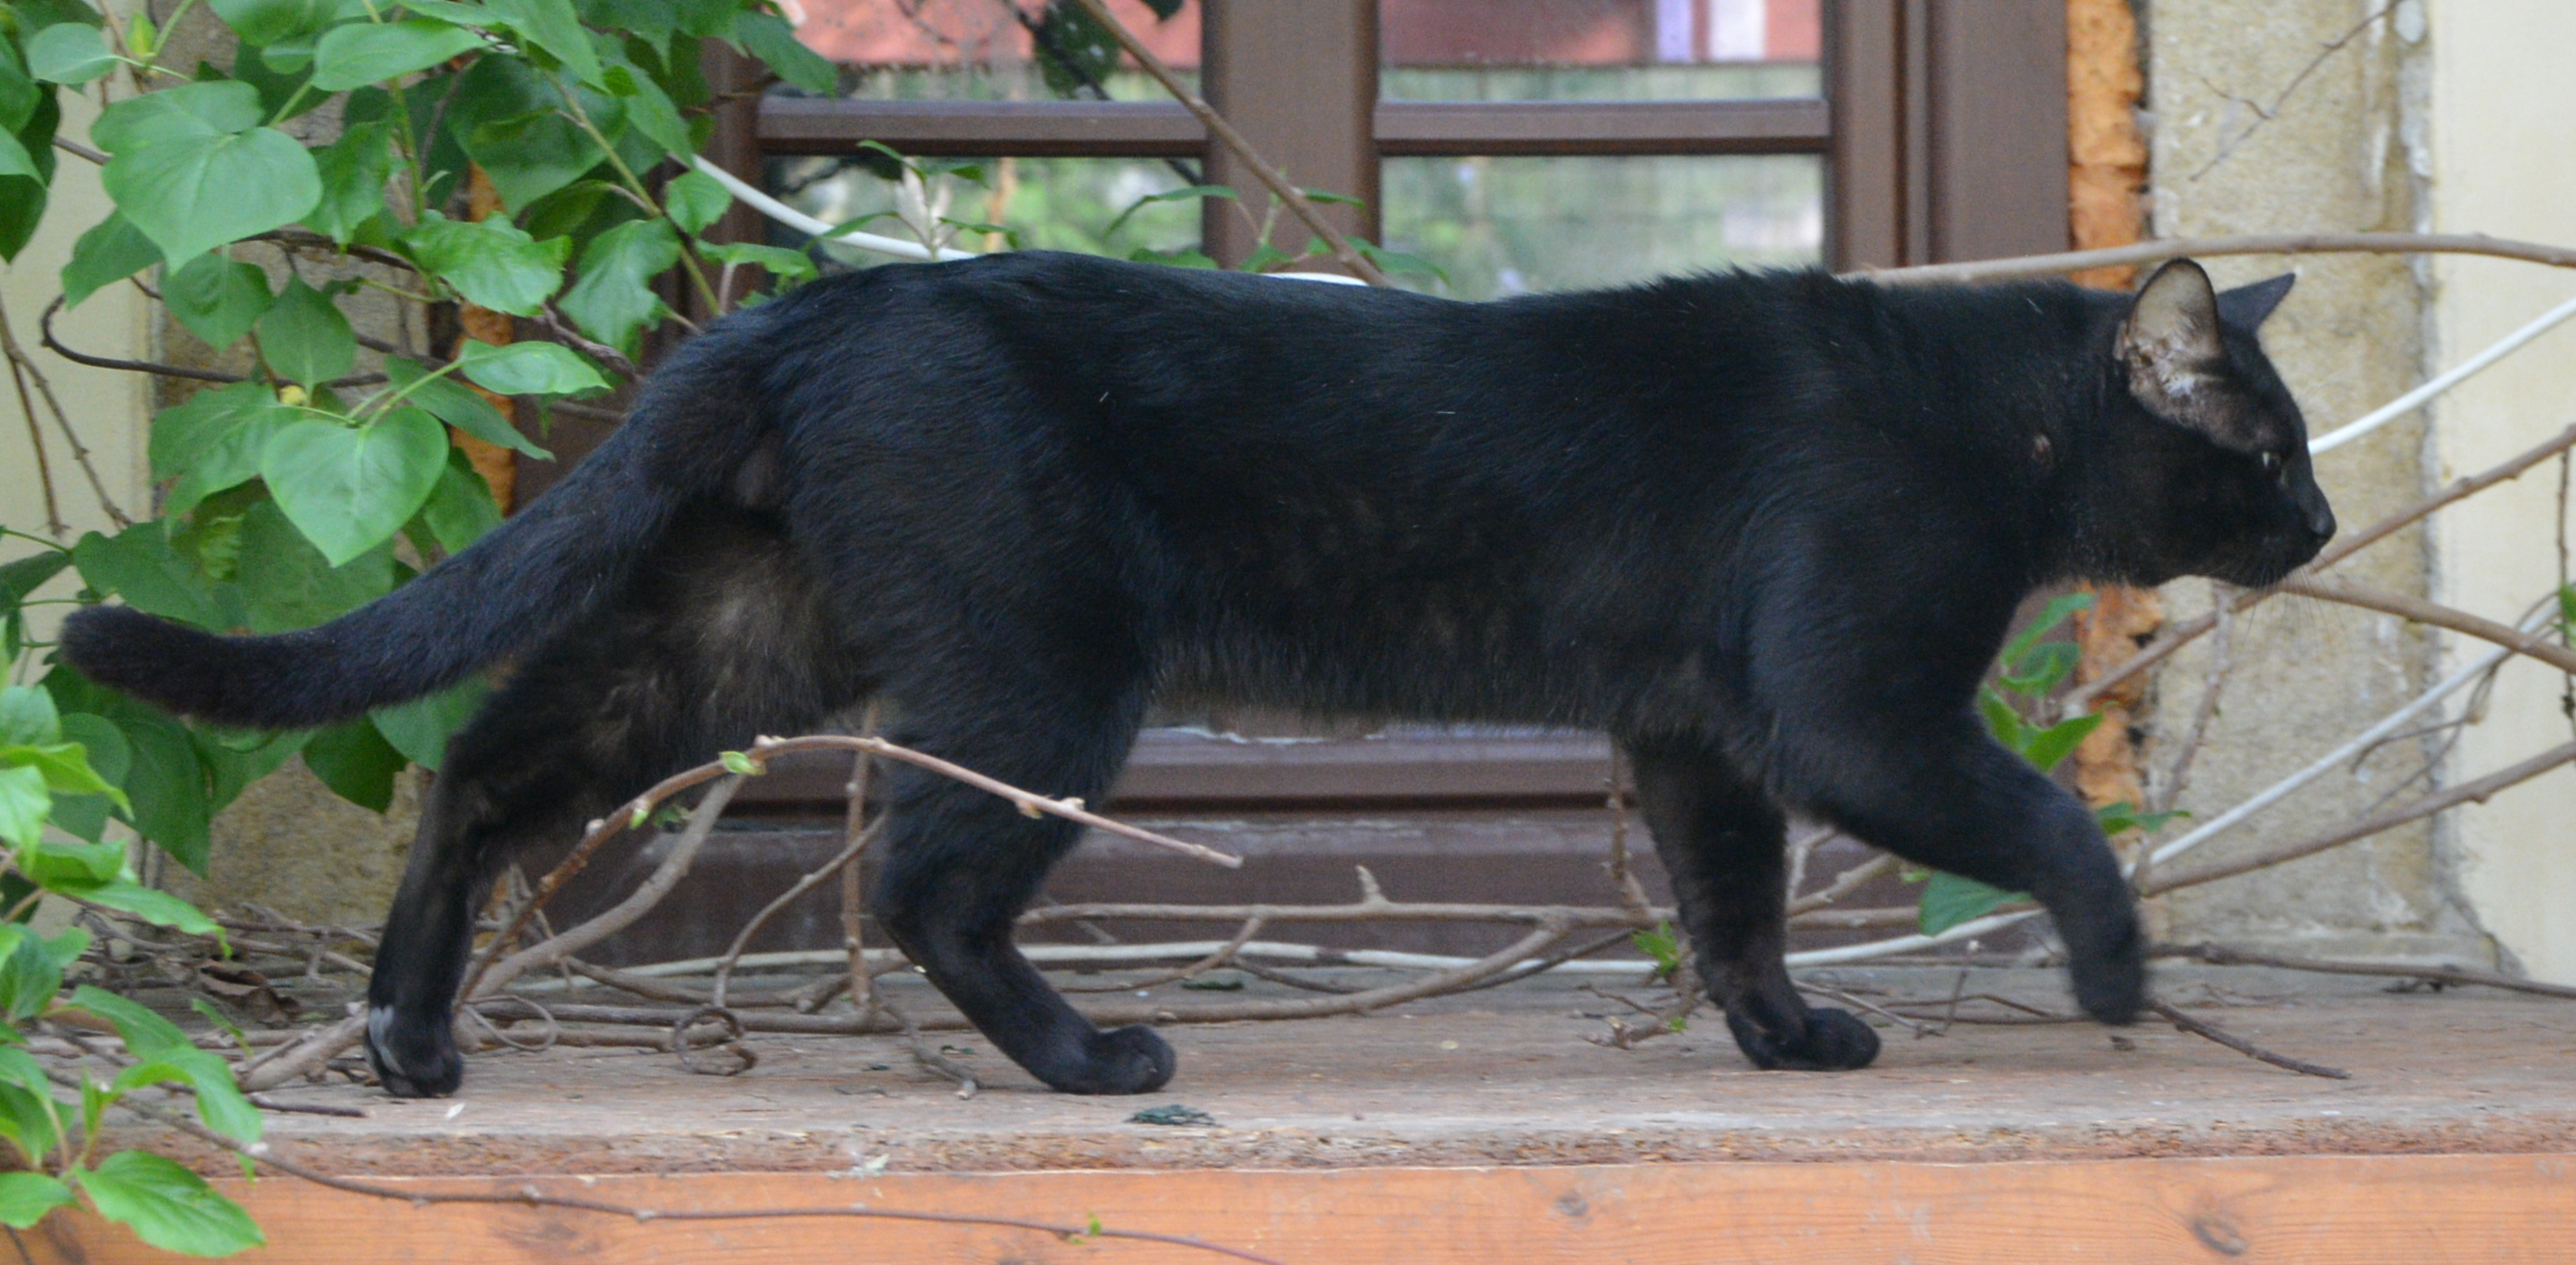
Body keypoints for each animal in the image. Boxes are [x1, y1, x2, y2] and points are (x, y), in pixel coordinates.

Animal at [60, 249, 2329, 1097]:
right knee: (920, 881)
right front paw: (2118, 975)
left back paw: (408, 1037)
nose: (2313, 528)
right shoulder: (1847, 705)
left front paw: (1784, 1040)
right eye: (2269, 449)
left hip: (731, 642)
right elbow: (2037, 815)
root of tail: (806, 306)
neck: (1985, 417)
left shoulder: (1696, 727)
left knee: (477, 774)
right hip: (1044, 668)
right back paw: (1092, 1060)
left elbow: (1732, 899)